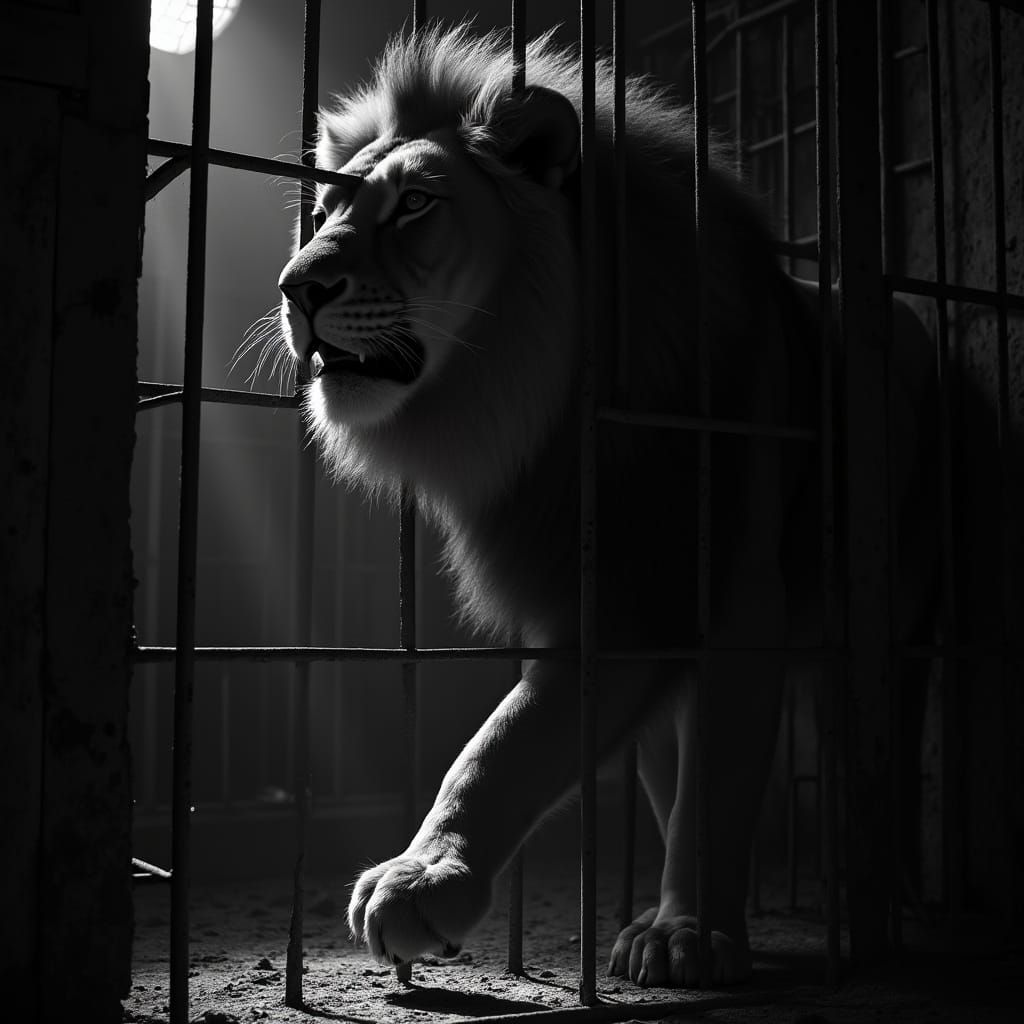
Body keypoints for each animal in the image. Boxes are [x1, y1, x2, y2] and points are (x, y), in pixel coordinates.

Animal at [276, 25, 938, 987]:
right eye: (328, 212)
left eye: (415, 206)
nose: (296, 286)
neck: (543, 419)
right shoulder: (605, 601)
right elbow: (527, 744)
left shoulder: (726, 597)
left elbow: (673, 779)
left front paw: (686, 933)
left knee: (875, 758)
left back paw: (874, 908)